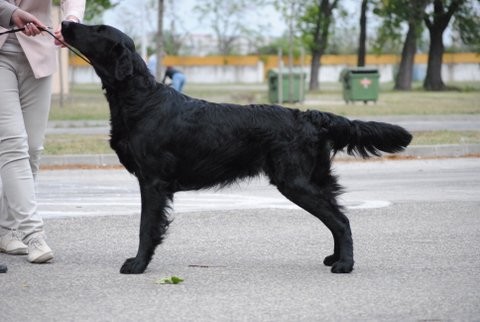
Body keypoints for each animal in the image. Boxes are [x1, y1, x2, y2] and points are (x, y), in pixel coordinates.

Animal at [60, 22, 412, 274]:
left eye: (98, 30)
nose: (65, 22)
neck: (141, 100)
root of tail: (308, 115)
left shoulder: (153, 182)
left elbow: (146, 227)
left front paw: (137, 264)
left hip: (295, 183)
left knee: (341, 221)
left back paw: (345, 264)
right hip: (311, 180)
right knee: (338, 217)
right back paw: (335, 257)